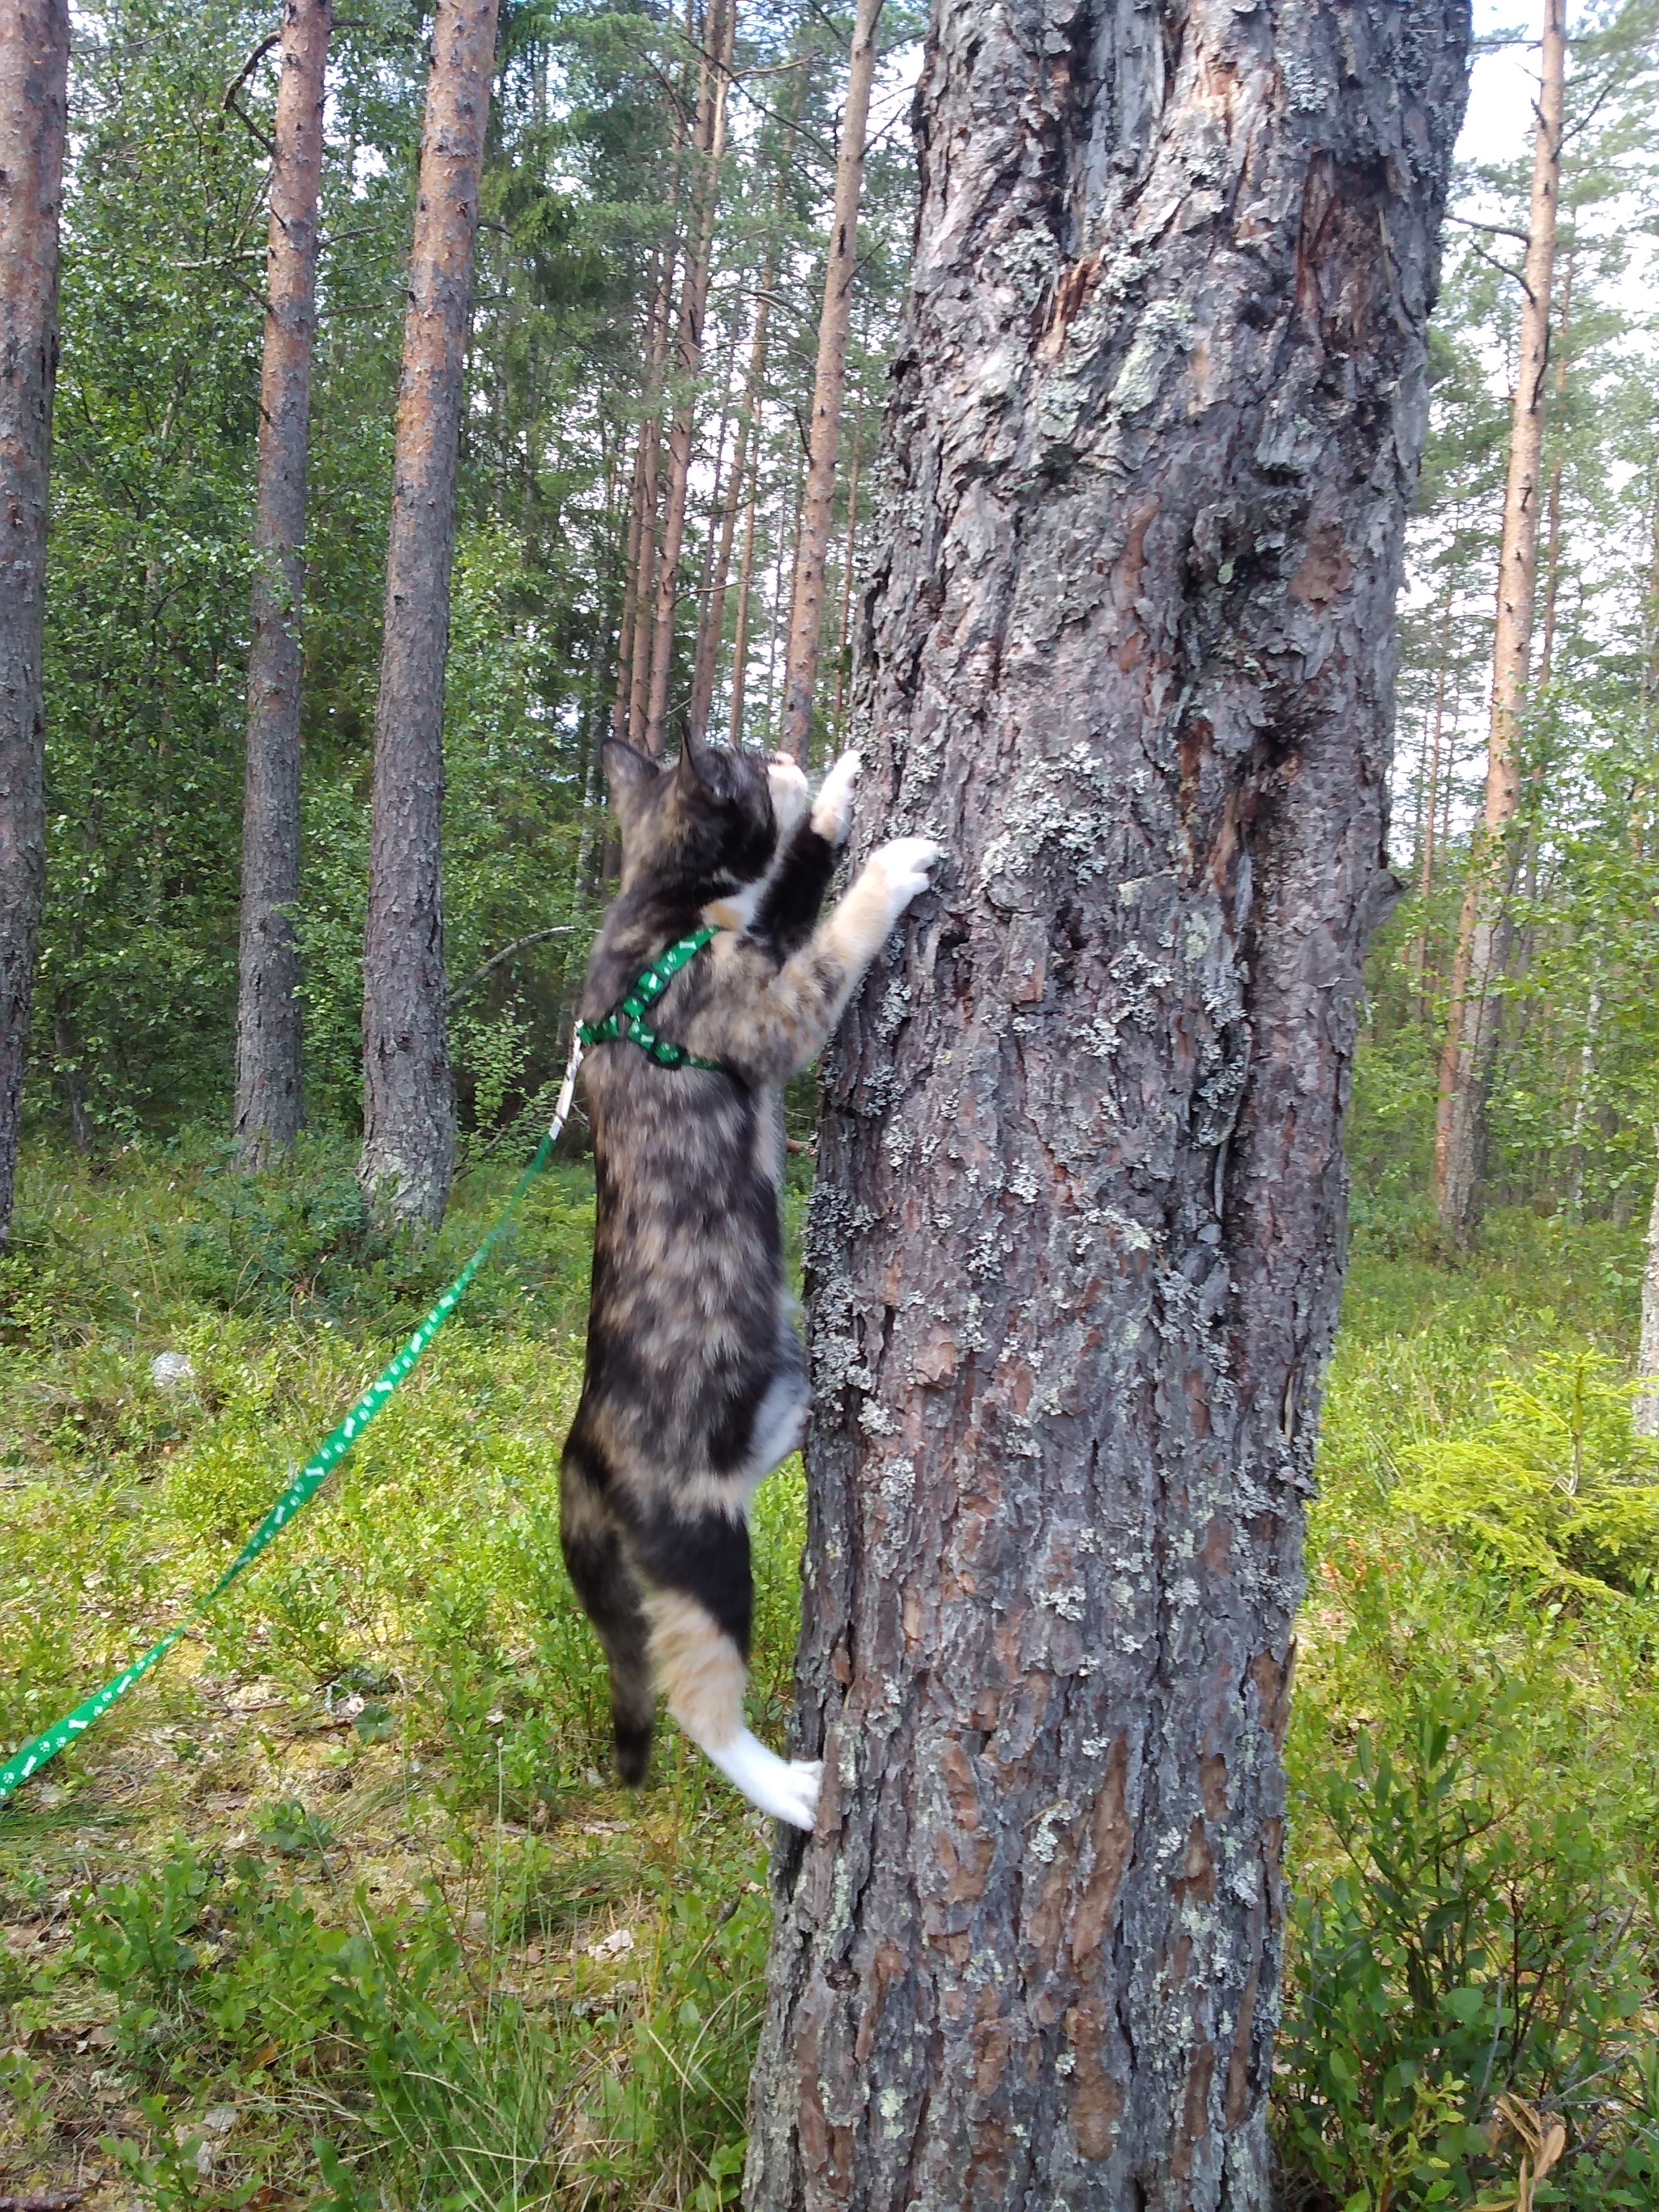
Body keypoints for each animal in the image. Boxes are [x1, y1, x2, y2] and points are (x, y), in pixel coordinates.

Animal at [566, 734, 942, 1822]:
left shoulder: (760, 933)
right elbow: (828, 937)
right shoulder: (765, 1008)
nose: (778, 745)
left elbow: (792, 884)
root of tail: (580, 1452)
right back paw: (785, 1788)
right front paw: (888, 866)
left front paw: (838, 797)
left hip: (767, 1409)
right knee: (694, 1698)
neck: (658, 907)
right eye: (731, 758)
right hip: (701, 1550)